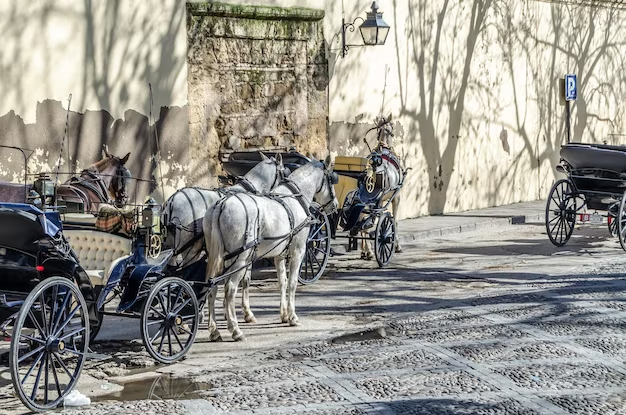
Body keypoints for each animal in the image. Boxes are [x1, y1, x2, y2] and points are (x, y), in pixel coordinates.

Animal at [204, 162, 336, 342]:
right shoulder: (298, 251)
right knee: (230, 288)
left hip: (219, 257)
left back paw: (214, 330)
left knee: (212, 287)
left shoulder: (279, 255)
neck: (293, 198)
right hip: (240, 259)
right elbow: (292, 283)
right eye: (332, 179)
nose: (335, 205)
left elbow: (282, 282)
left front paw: (284, 315)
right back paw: (235, 330)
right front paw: (292, 317)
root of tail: (221, 204)